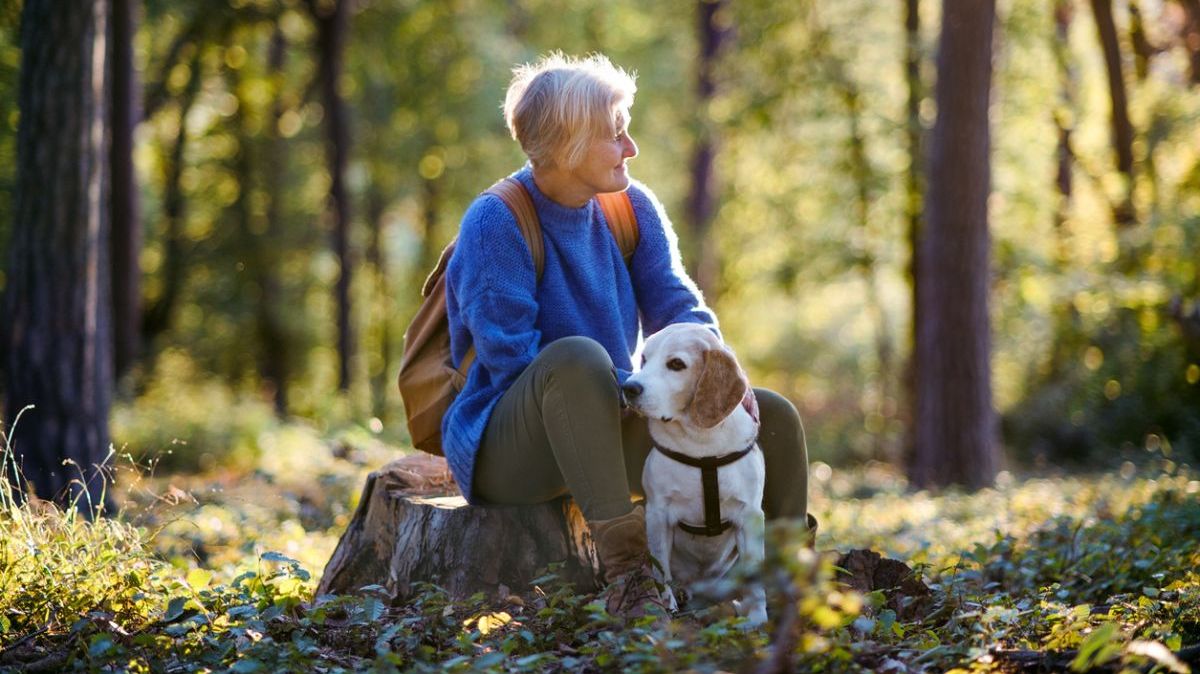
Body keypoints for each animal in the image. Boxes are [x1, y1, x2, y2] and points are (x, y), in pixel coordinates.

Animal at [619, 323, 768, 623]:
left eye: (676, 364)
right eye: (644, 359)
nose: (629, 388)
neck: (701, 445)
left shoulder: (750, 516)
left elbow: (755, 578)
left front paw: (758, 618)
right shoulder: (658, 515)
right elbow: (661, 572)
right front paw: (668, 608)